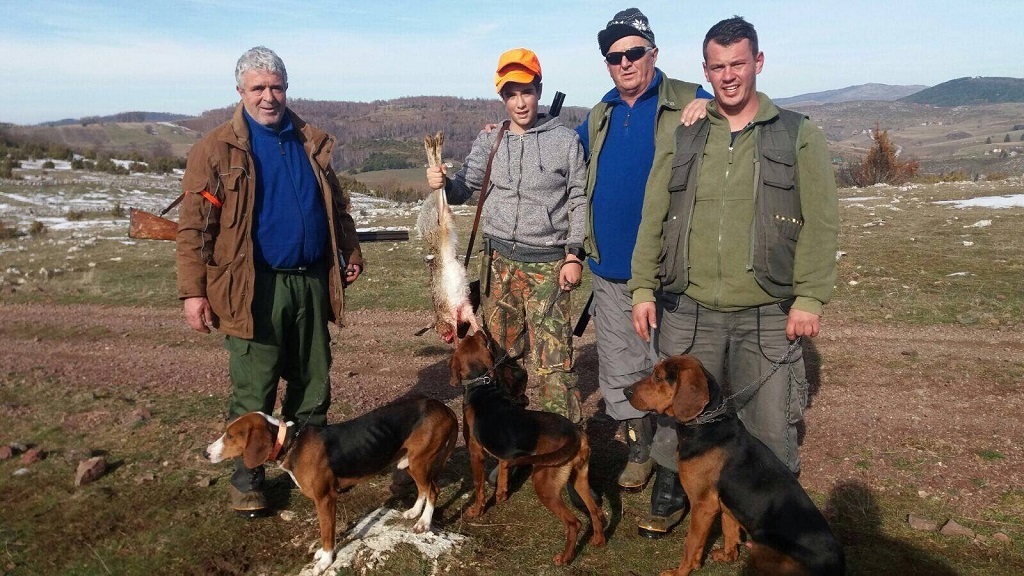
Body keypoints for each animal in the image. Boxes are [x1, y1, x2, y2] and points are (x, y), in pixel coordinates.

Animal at [205, 397, 458, 573]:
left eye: (230, 436)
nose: (205, 453)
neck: (291, 442)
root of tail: (444, 409)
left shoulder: (325, 499)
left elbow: (327, 533)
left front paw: (325, 561)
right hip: (412, 464)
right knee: (424, 489)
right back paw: (414, 512)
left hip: (420, 462)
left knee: (433, 490)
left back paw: (424, 522)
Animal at [450, 330, 606, 561]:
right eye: (479, 340)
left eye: (469, 341)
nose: (477, 330)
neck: (482, 386)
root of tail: (575, 434)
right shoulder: (506, 453)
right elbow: (504, 471)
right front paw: (501, 495)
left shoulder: (475, 453)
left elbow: (478, 487)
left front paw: (477, 511)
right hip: (579, 477)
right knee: (595, 511)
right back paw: (598, 540)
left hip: (544, 483)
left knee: (574, 523)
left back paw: (564, 558)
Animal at [626, 354, 843, 573]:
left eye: (658, 377)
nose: (626, 392)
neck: (707, 426)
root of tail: (837, 566)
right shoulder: (724, 504)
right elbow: (728, 531)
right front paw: (726, 556)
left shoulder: (703, 505)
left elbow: (691, 544)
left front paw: (679, 572)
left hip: (761, 549)